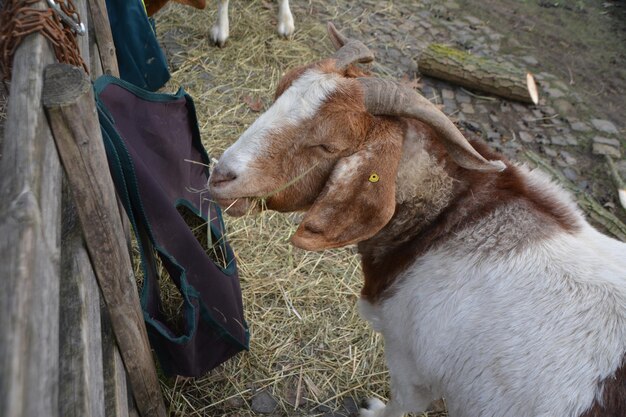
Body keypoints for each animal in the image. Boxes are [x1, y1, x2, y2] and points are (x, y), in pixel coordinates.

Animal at [208, 23, 624, 416]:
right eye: (276, 96)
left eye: (328, 145)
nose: (221, 175)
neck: (450, 222)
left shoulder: (411, 360)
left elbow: (404, 401)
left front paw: (373, 410)